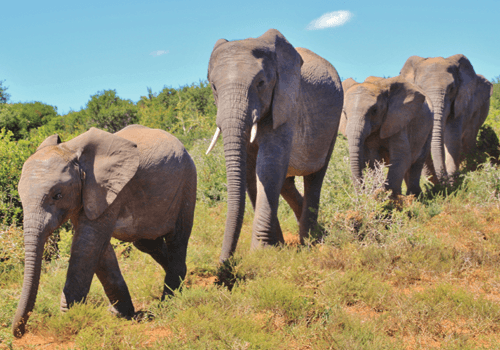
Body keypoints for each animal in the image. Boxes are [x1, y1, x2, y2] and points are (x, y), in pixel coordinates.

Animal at [12, 124, 196, 338]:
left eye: (57, 195)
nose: (19, 332)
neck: (71, 150)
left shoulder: (107, 189)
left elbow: (88, 245)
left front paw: (70, 319)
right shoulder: (88, 194)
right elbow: (98, 250)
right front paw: (119, 314)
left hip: (187, 182)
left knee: (177, 237)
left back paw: (168, 301)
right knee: (147, 243)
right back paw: (183, 280)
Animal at [206, 28, 344, 262]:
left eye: (261, 83)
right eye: (214, 87)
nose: (224, 264)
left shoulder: (285, 103)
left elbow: (269, 165)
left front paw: (262, 252)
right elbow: (251, 171)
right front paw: (276, 247)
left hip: (333, 122)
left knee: (315, 176)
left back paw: (311, 240)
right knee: (287, 182)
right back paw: (315, 231)